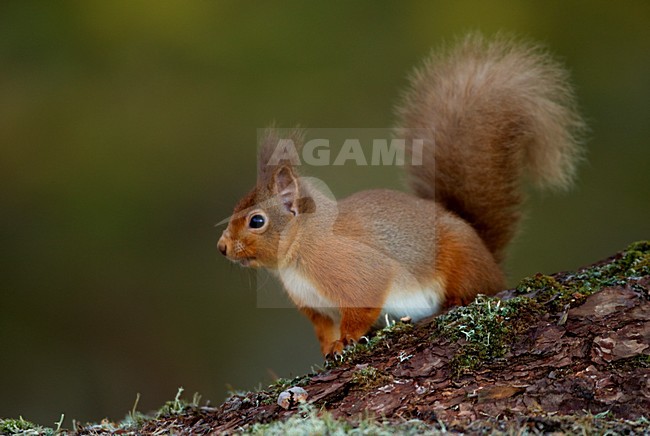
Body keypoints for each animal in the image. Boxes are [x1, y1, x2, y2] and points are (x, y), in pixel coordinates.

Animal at [217, 33, 585, 357]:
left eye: (257, 221)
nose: (222, 248)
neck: (300, 254)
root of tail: (489, 259)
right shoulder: (316, 308)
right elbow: (324, 330)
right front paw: (328, 350)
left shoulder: (356, 270)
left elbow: (363, 304)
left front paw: (347, 340)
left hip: (459, 257)